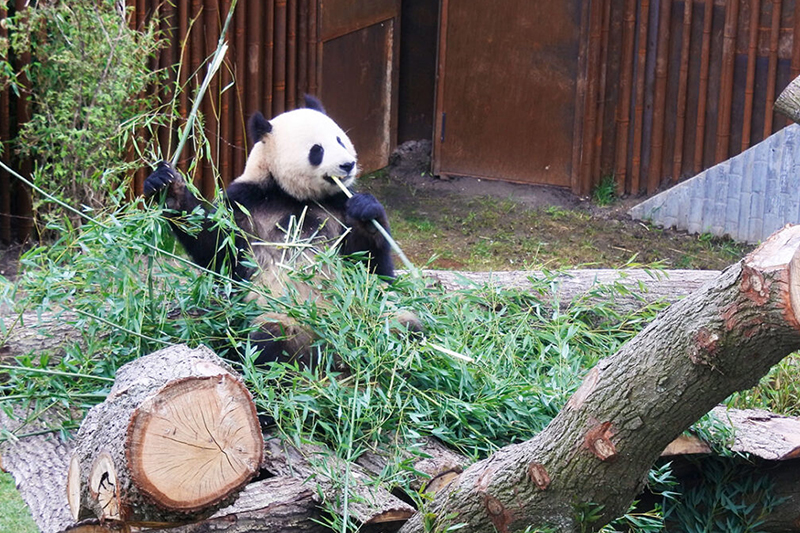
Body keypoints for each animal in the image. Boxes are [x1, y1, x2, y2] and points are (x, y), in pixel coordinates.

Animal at [144, 95, 402, 366]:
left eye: (339, 139)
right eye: (317, 150)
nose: (348, 165)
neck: (291, 194)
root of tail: (331, 344)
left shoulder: (339, 205)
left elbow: (369, 265)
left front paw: (366, 211)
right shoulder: (245, 203)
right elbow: (215, 246)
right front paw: (168, 187)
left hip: (379, 312)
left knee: (402, 326)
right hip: (281, 317)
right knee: (267, 340)